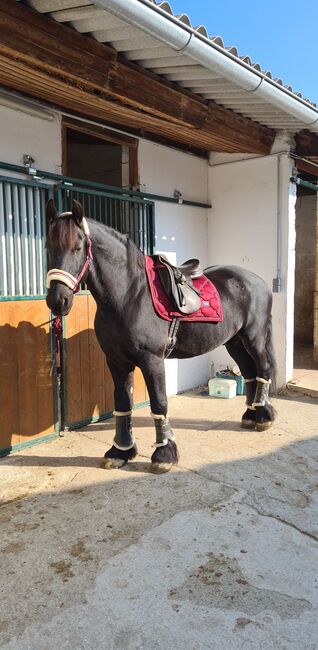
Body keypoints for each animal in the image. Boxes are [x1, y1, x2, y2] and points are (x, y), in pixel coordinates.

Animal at [45, 199, 276, 470]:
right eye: (48, 247)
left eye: (78, 247)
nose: (57, 301)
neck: (129, 295)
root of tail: (258, 281)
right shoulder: (116, 361)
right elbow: (122, 403)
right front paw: (121, 451)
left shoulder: (152, 360)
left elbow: (159, 402)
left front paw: (164, 454)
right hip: (234, 342)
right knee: (249, 373)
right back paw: (251, 415)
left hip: (254, 338)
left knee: (263, 369)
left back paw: (264, 417)